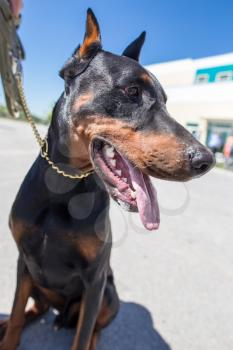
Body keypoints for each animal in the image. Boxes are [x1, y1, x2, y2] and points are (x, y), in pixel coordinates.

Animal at [0, 7, 215, 350]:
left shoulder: (95, 280)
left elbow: (84, 332)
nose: (206, 160)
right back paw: (5, 324)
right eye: (132, 91)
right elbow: (18, 310)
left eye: (166, 100)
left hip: (109, 295)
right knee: (36, 308)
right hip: (39, 283)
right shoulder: (24, 262)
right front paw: (10, 332)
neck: (63, 186)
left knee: (91, 328)